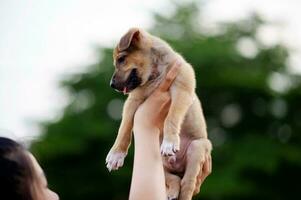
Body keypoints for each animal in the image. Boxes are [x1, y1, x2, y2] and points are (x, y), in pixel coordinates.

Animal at [105, 27, 211, 199]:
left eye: (121, 59)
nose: (112, 85)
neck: (155, 74)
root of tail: (177, 166)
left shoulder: (181, 92)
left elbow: (171, 118)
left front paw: (169, 142)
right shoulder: (132, 101)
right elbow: (124, 127)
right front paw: (116, 154)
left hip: (198, 148)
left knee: (186, 185)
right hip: (160, 163)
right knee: (173, 179)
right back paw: (171, 191)